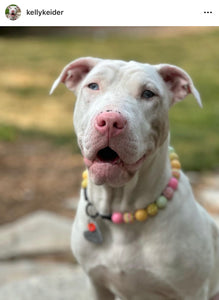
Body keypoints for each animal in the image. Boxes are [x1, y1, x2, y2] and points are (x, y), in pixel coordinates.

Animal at [50, 57, 219, 298]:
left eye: (148, 93)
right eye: (93, 86)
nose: (110, 120)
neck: (122, 208)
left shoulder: (192, 291)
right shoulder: (96, 284)